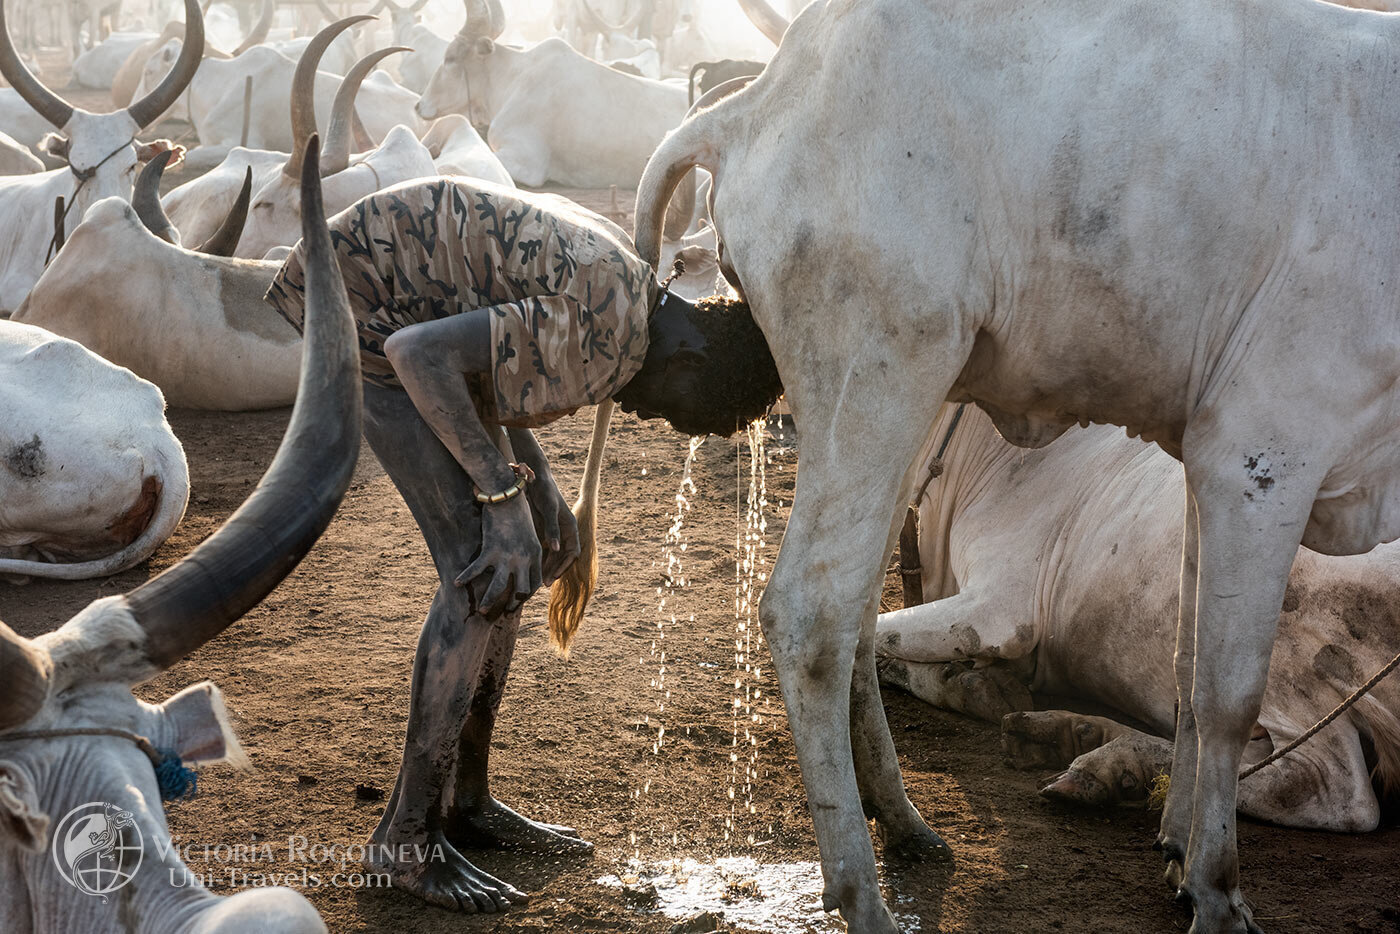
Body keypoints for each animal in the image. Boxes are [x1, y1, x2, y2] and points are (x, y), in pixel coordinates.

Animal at [873, 406, 1400, 834]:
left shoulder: (999, 611)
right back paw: (1071, 732)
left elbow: (873, 638)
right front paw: (971, 682)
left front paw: (970, 684)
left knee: (1325, 787)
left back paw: (1110, 763)